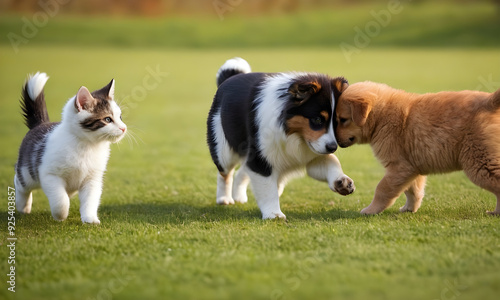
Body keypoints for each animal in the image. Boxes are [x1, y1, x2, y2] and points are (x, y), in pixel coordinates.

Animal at [14, 72, 127, 223]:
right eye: (107, 119)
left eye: (120, 117)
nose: (124, 128)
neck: (87, 145)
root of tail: (40, 124)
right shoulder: (50, 174)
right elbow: (61, 200)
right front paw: (60, 215)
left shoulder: (93, 178)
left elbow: (90, 199)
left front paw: (90, 218)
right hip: (27, 172)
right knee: (20, 183)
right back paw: (23, 206)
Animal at [207, 57, 356, 219]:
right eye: (317, 120)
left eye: (337, 123)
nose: (333, 147)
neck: (293, 135)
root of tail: (229, 78)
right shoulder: (260, 157)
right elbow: (267, 188)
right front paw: (273, 214)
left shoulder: (313, 154)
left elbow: (331, 162)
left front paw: (341, 181)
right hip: (224, 149)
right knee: (225, 173)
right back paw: (224, 199)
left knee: (243, 172)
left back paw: (239, 197)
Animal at [334, 81, 500, 214]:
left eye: (343, 120)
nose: (335, 143)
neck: (382, 117)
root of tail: (488, 101)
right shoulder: (411, 169)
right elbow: (413, 192)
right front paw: (409, 209)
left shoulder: (399, 166)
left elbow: (382, 189)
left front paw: (371, 210)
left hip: (480, 162)